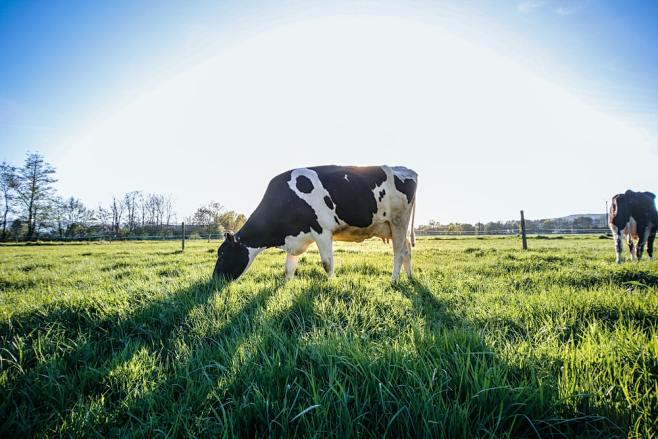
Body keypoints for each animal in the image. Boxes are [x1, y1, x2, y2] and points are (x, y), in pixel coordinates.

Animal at [211, 165, 416, 282]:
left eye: (222, 254)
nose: (214, 279)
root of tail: (404, 168)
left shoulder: (322, 231)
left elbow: (327, 263)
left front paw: (332, 283)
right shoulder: (295, 237)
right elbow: (288, 267)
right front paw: (286, 285)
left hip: (398, 221)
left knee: (398, 253)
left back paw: (394, 280)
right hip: (395, 227)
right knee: (407, 250)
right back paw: (410, 277)